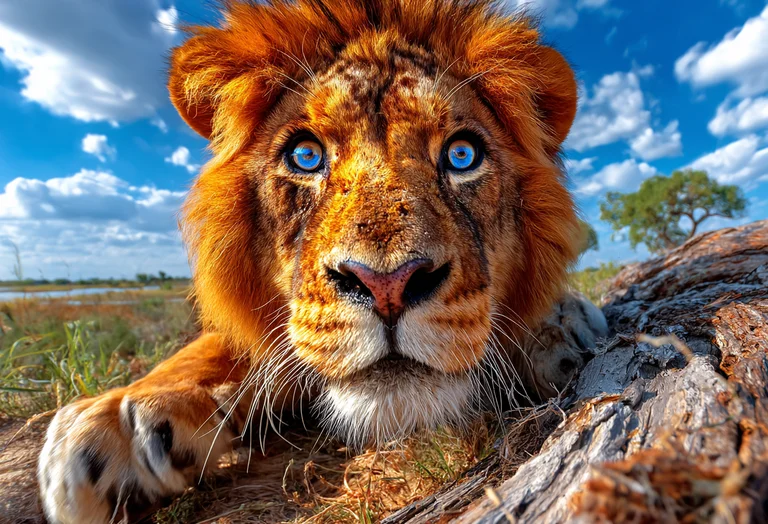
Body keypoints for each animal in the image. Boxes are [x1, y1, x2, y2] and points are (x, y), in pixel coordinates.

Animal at [37, 1, 607, 522]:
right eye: (306, 156)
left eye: (461, 155)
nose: (387, 285)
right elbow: (215, 348)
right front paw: (121, 421)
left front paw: (559, 326)